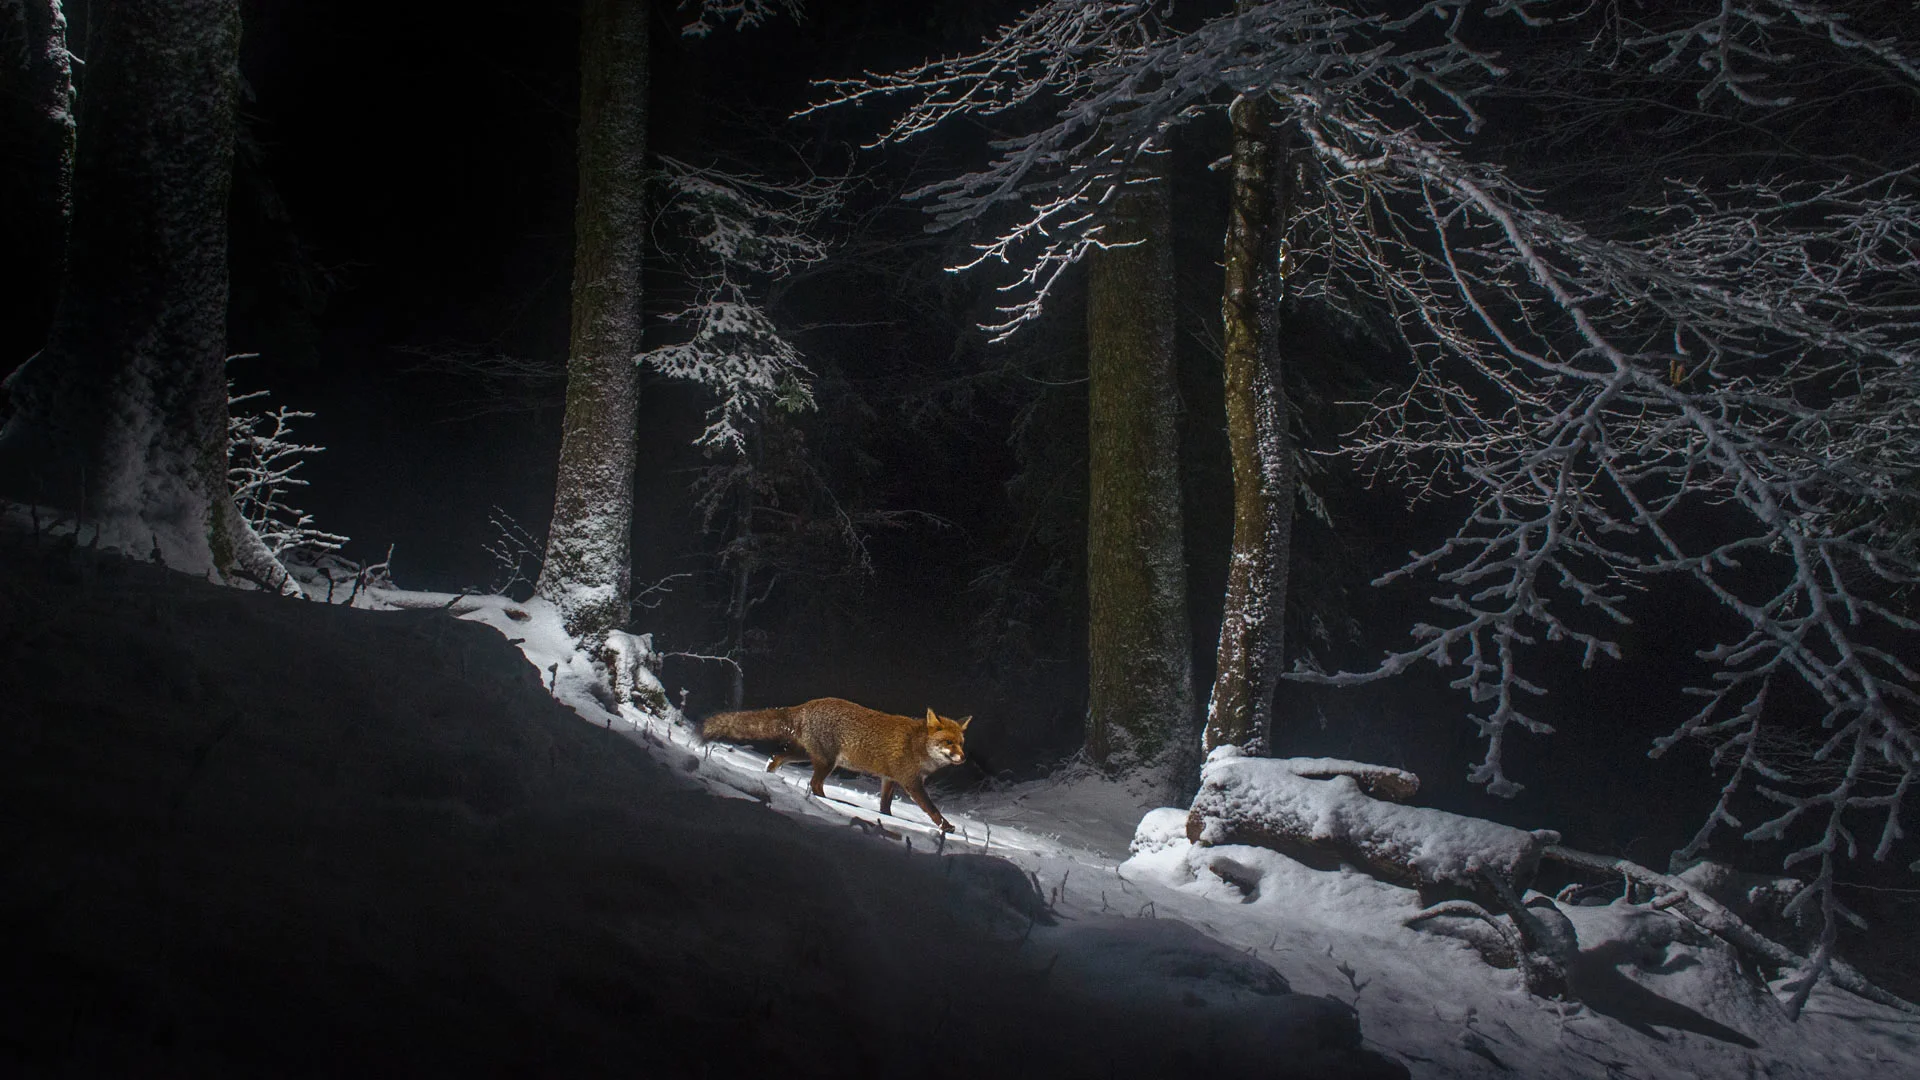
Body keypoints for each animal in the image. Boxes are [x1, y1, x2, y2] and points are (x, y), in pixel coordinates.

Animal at [699, 697, 971, 832]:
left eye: (961, 743)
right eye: (948, 742)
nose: (964, 758)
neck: (917, 745)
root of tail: (805, 705)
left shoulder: (889, 779)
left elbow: (885, 806)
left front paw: (885, 820)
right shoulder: (911, 782)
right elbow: (932, 810)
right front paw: (946, 827)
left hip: (805, 755)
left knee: (776, 758)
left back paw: (769, 778)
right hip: (826, 762)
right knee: (814, 784)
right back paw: (827, 803)